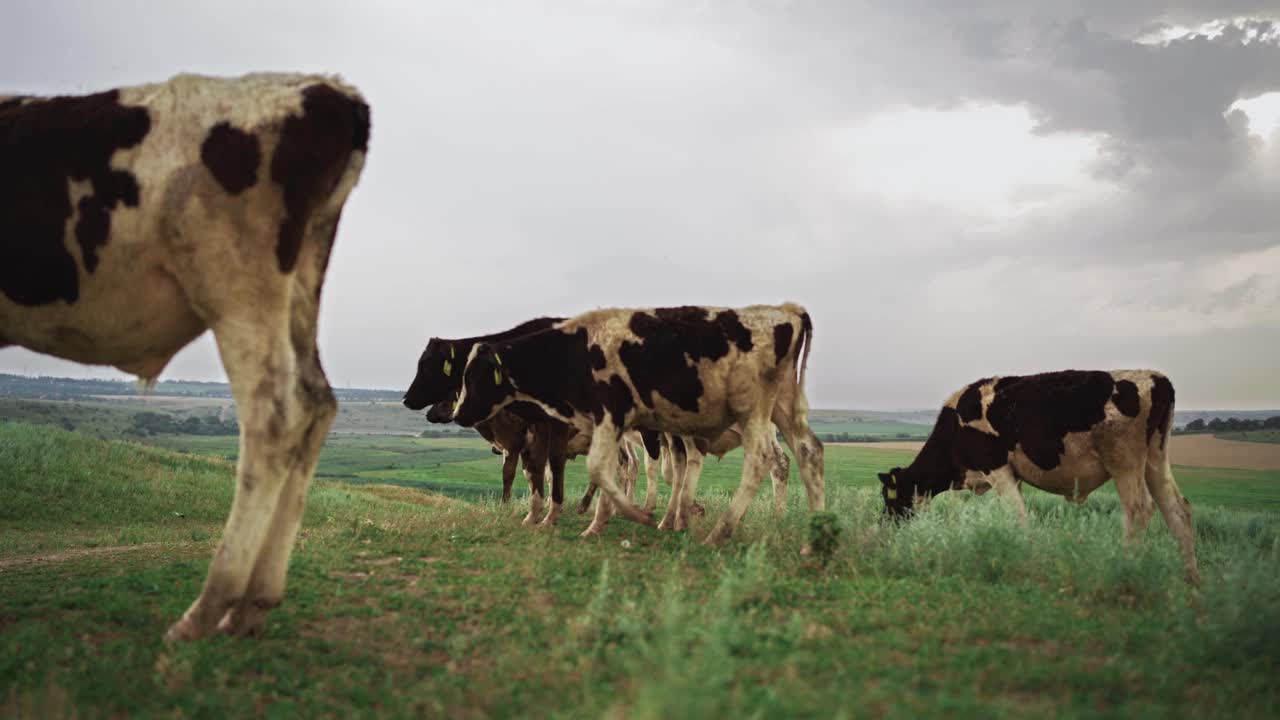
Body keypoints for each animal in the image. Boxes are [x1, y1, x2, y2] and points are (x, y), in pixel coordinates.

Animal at [0, 73, 371, 635]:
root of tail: (329, 89)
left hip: (237, 285)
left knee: (277, 413)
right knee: (319, 402)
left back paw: (206, 610)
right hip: (301, 283)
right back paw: (251, 607)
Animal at [453, 302, 829, 543]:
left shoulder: (609, 414)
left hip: (753, 412)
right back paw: (815, 538)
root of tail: (786, 309)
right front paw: (599, 523)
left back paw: (720, 531)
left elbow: (599, 468)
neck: (577, 349)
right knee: (809, 451)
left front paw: (638, 515)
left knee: (765, 460)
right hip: (782, 409)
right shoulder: (609, 425)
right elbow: (611, 469)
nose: (457, 414)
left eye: (477, 376)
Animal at [875, 368, 1192, 584]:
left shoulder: (997, 468)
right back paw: (1191, 581)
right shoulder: (1011, 476)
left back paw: (1126, 570)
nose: (883, 528)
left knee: (1139, 509)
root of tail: (1156, 378)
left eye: (889, 498)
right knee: (1177, 509)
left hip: (1124, 461)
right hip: (1155, 459)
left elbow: (1018, 516)